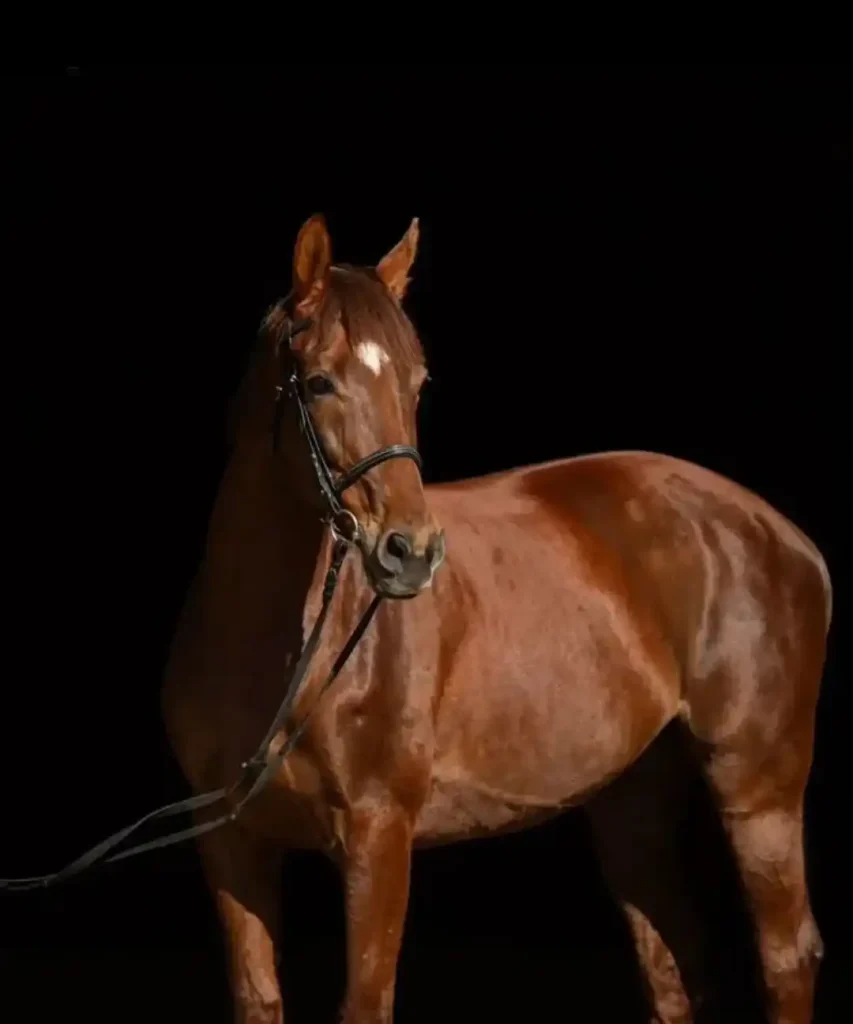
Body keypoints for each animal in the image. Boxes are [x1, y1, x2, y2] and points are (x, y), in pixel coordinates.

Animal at [160, 213, 831, 1024]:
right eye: (318, 381)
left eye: (416, 383)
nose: (410, 552)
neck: (279, 658)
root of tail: (780, 533)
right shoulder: (233, 849)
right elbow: (258, 998)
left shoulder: (378, 836)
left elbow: (365, 1001)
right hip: (631, 802)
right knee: (672, 968)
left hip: (756, 787)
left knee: (785, 956)